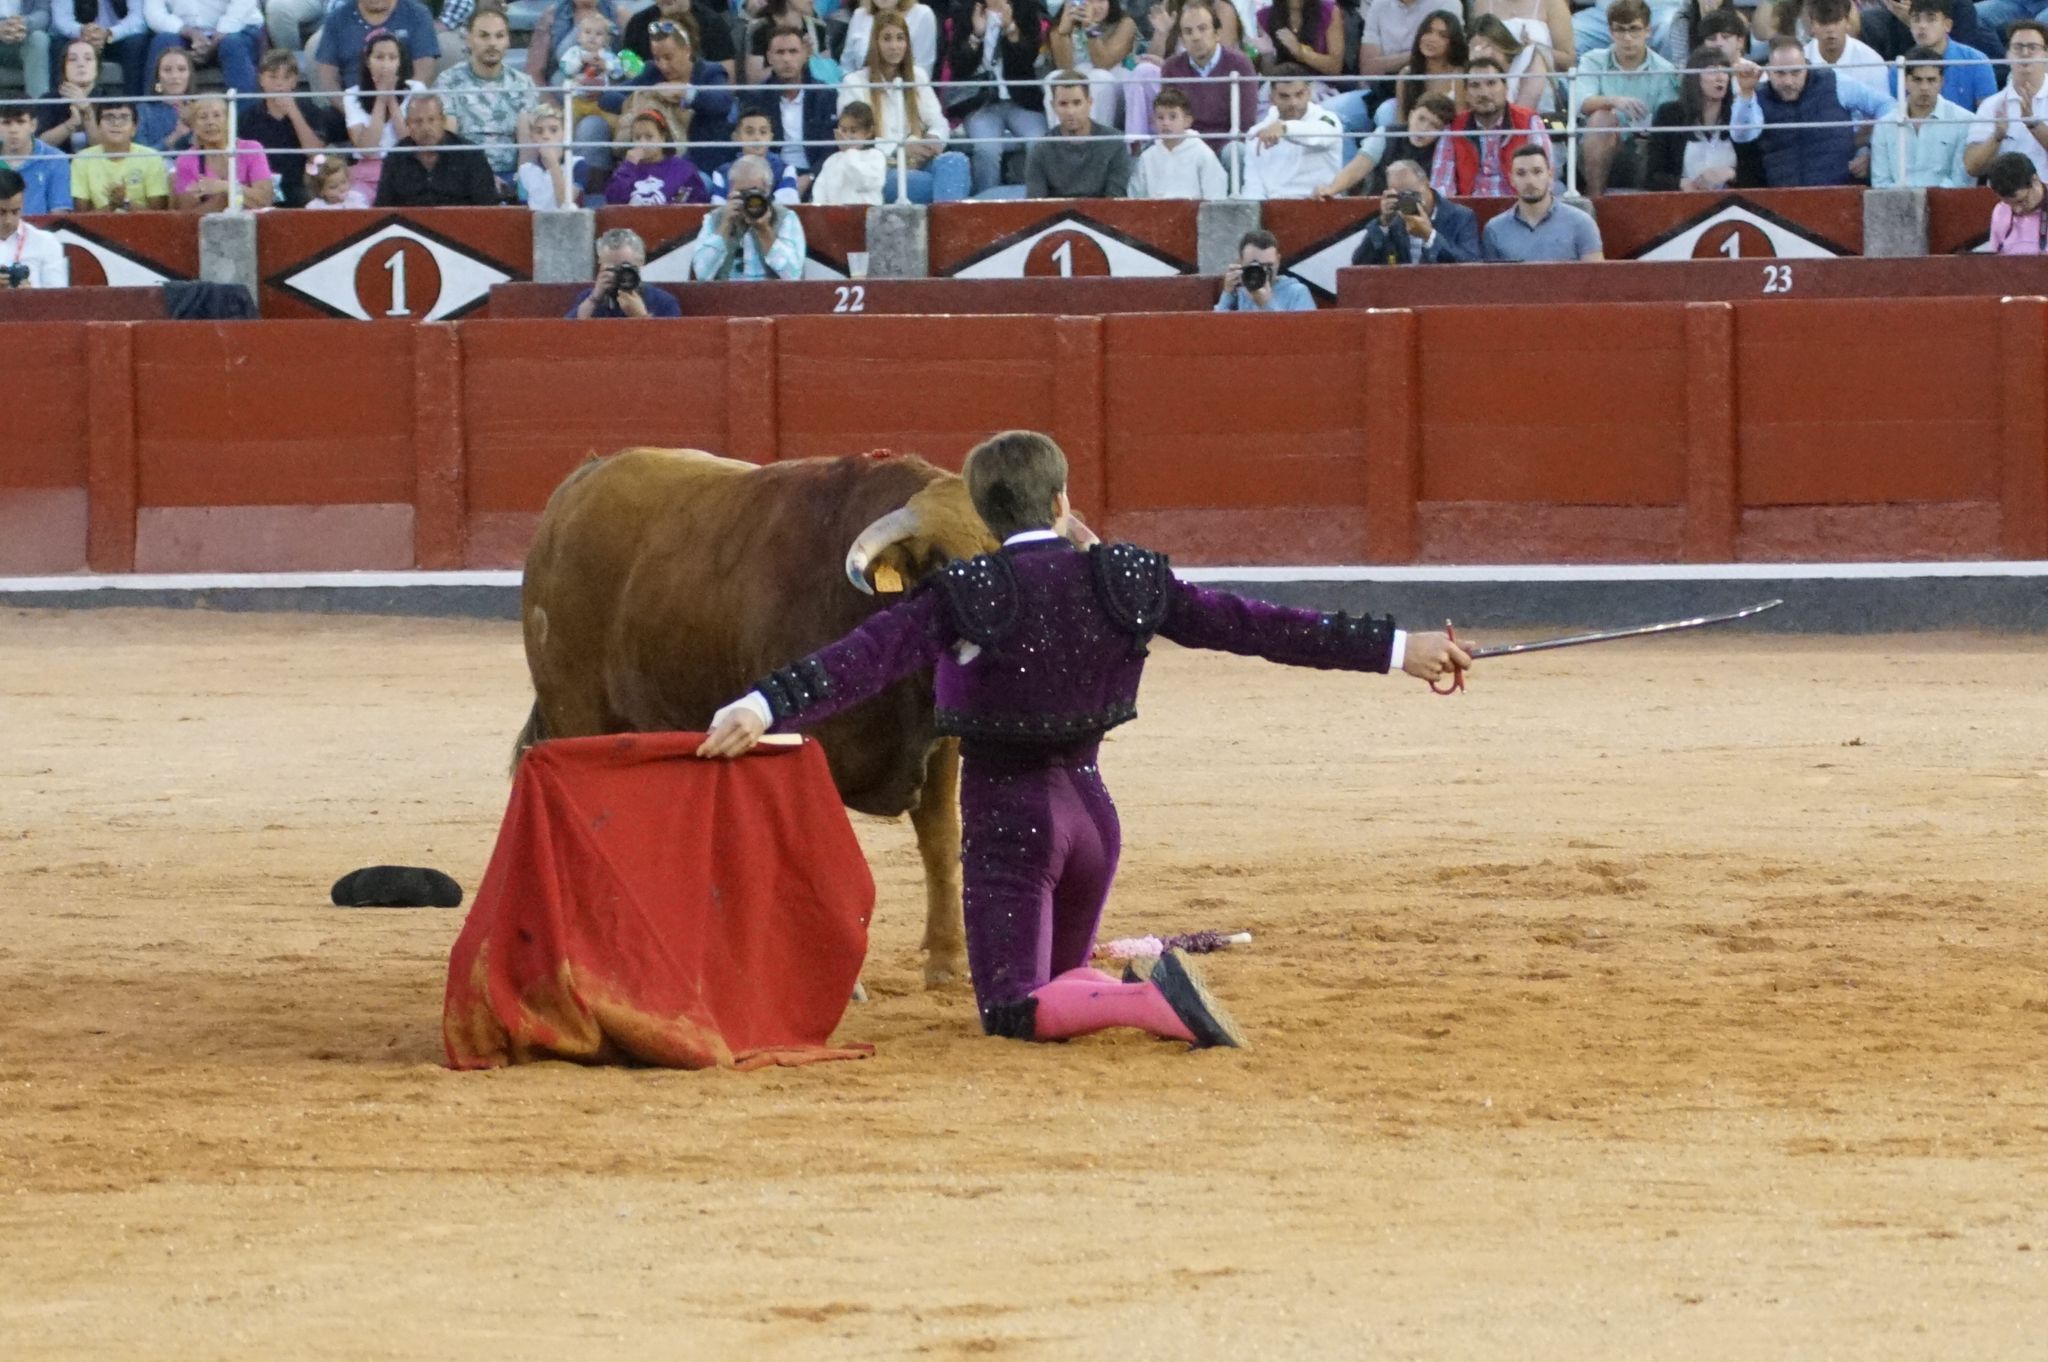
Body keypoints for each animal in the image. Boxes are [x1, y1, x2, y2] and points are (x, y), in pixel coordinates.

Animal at [509, 450, 991, 983]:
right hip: (575, 713)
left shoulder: (938, 743)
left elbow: (941, 841)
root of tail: (582, 479)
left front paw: (947, 962)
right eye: (942, 562)